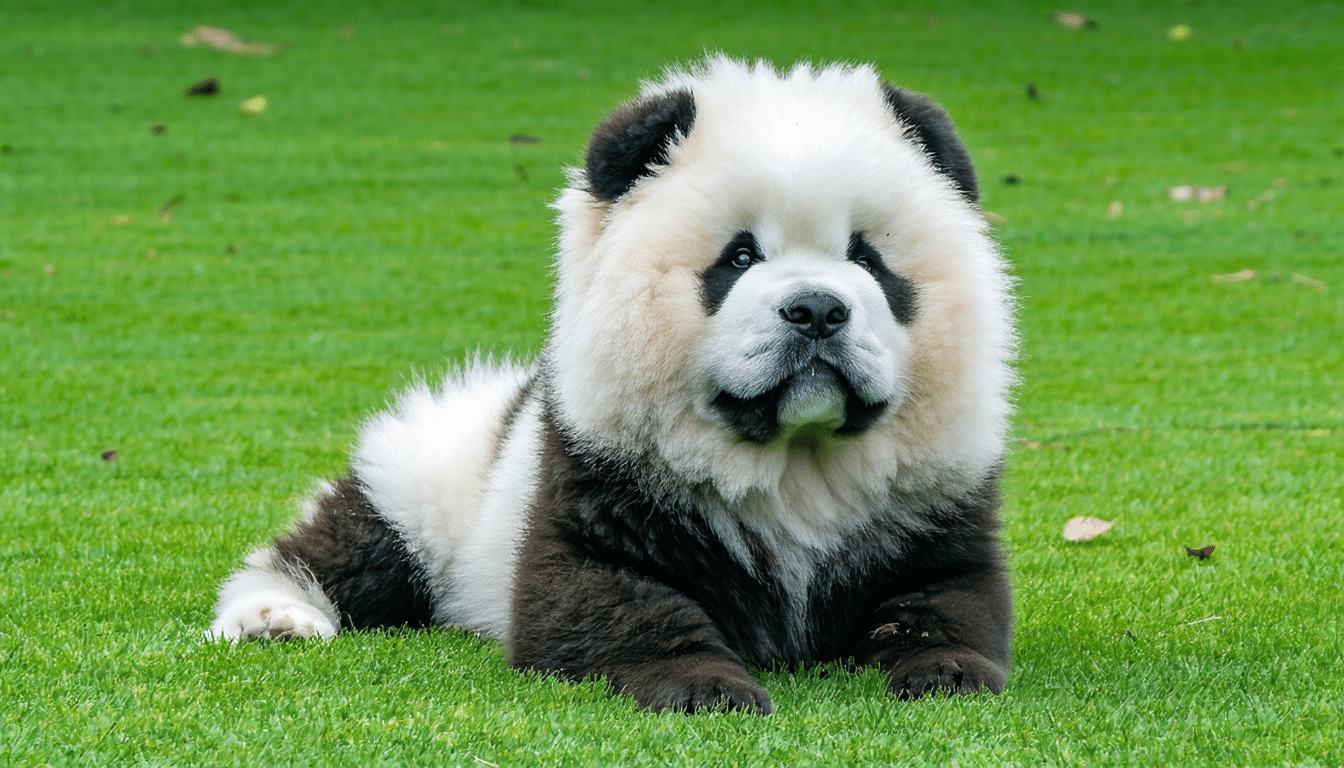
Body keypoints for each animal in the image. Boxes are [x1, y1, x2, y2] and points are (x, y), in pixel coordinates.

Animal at [211, 56, 1017, 715]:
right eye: (738, 257)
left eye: (868, 259)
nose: (817, 310)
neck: (794, 459)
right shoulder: (595, 475)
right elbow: (606, 599)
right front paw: (704, 686)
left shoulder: (931, 496)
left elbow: (953, 593)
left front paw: (946, 670)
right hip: (434, 477)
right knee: (352, 545)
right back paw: (273, 618)